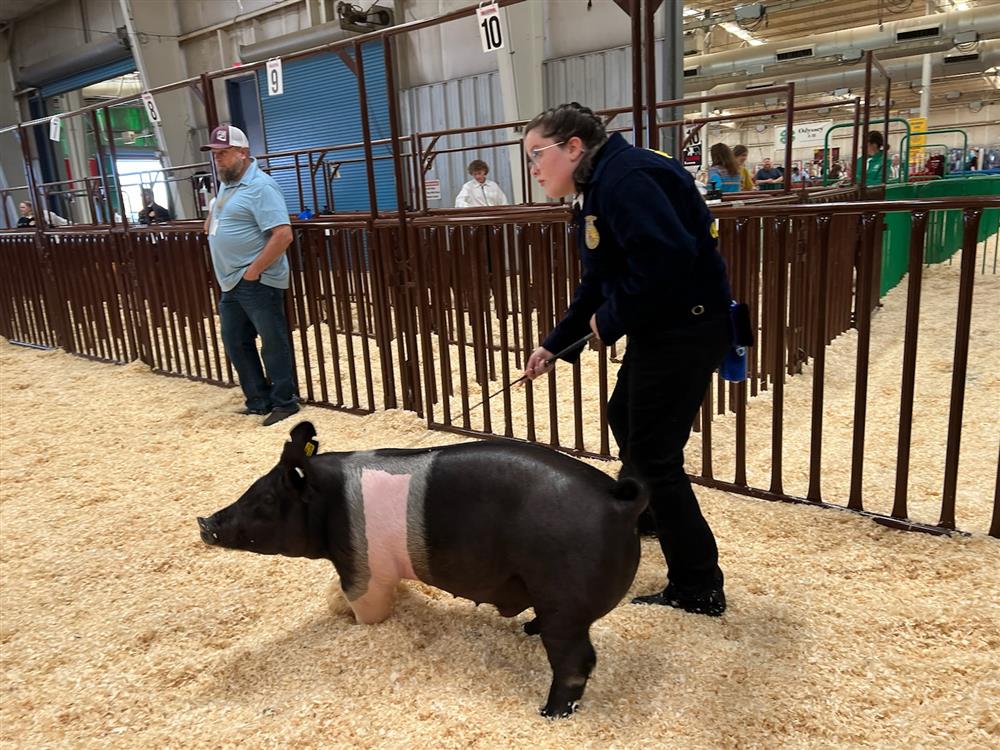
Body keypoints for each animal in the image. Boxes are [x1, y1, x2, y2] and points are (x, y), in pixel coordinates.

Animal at [197, 424, 648, 716]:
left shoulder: (363, 568)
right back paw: (527, 630)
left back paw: (550, 713)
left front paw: (358, 625)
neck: (329, 505)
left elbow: (366, 604)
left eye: (267, 499)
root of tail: (619, 503)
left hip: (565, 600)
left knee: (577, 660)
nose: (204, 521)